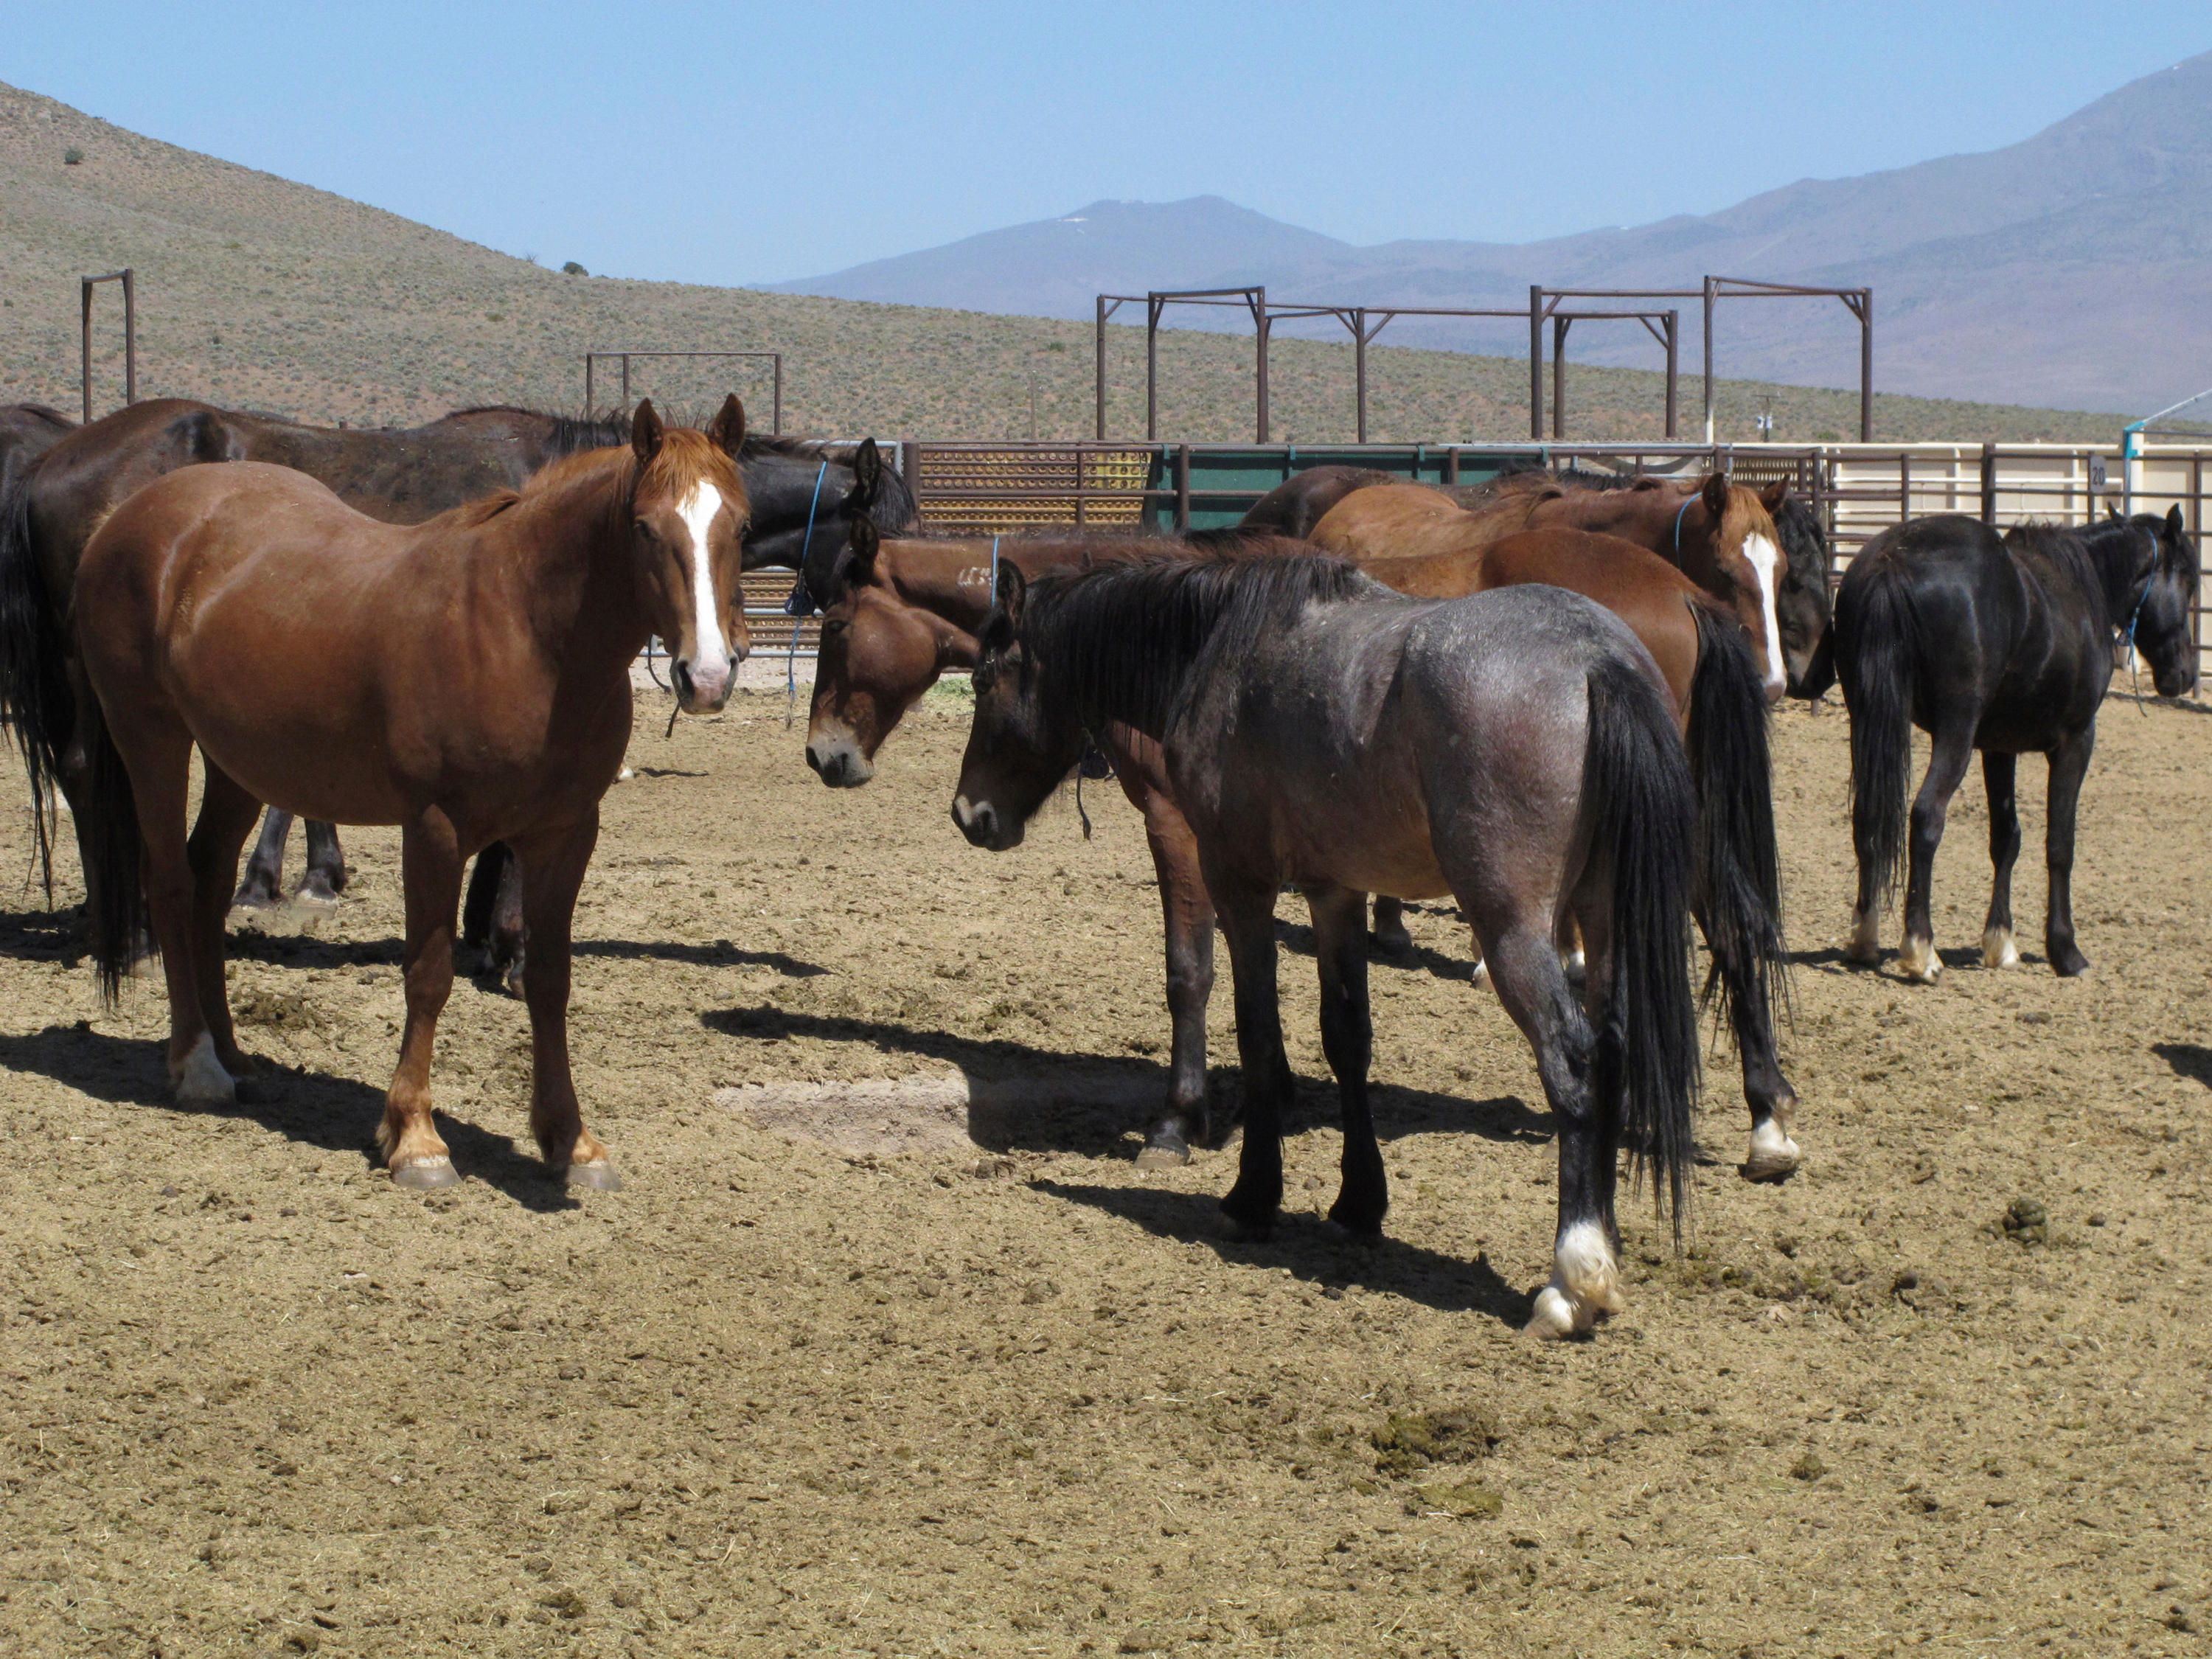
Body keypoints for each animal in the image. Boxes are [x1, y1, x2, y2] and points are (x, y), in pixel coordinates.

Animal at [68, 398, 748, 1188]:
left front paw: (571, 1142)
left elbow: (550, 979)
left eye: (740, 525)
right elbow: (429, 975)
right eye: (644, 527)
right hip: (150, 734)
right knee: (173, 883)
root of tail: (124, 518)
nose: (708, 677)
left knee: (208, 883)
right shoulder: (435, 828)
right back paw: (198, 1063)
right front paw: (416, 1138)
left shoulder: (566, 832)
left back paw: (235, 1055)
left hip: (237, 763)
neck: (523, 629)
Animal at [951, 555, 1701, 1339]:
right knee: (1613, 1051)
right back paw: (1606, 1246)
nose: (969, 813)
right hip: (1604, 921)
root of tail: (1595, 657)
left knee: (1574, 1063)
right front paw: (1358, 1204)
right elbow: (1347, 1039)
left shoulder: (1238, 882)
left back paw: (1573, 1279)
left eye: (984, 679)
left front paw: (1252, 1196)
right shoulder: (1335, 892)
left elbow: (1255, 1030)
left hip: (1514, 931)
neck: (1220, 649)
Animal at [1836, 508, 2199, 982]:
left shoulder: (1998, 747)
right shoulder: (2076, 741)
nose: (2186, 674)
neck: (2083, 584)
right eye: (2190, 581)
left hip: (1867, 719)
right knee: (1927, 816)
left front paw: (2001, 943)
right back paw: (1921, 950)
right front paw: (2066, 951)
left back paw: (1865, 937)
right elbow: (2060, 845)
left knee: (1867, 818)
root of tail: (1892, 561)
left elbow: (2006, 839)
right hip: (1955, 732)